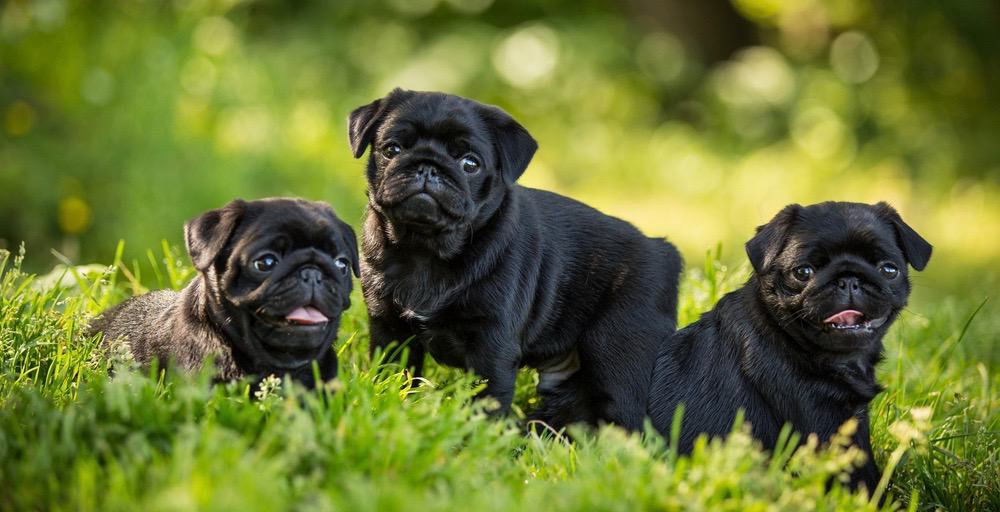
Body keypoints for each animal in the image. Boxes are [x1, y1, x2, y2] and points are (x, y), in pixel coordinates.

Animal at [348, 89, 684, 432]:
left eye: (470, 163)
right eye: (392, 149)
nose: (428, 166)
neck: (425, 250)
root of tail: (663, 250)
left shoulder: (492, 345)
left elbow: (488, 399)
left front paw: (477, 437)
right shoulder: (390, 329)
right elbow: (393, 374)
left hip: (617, 350)